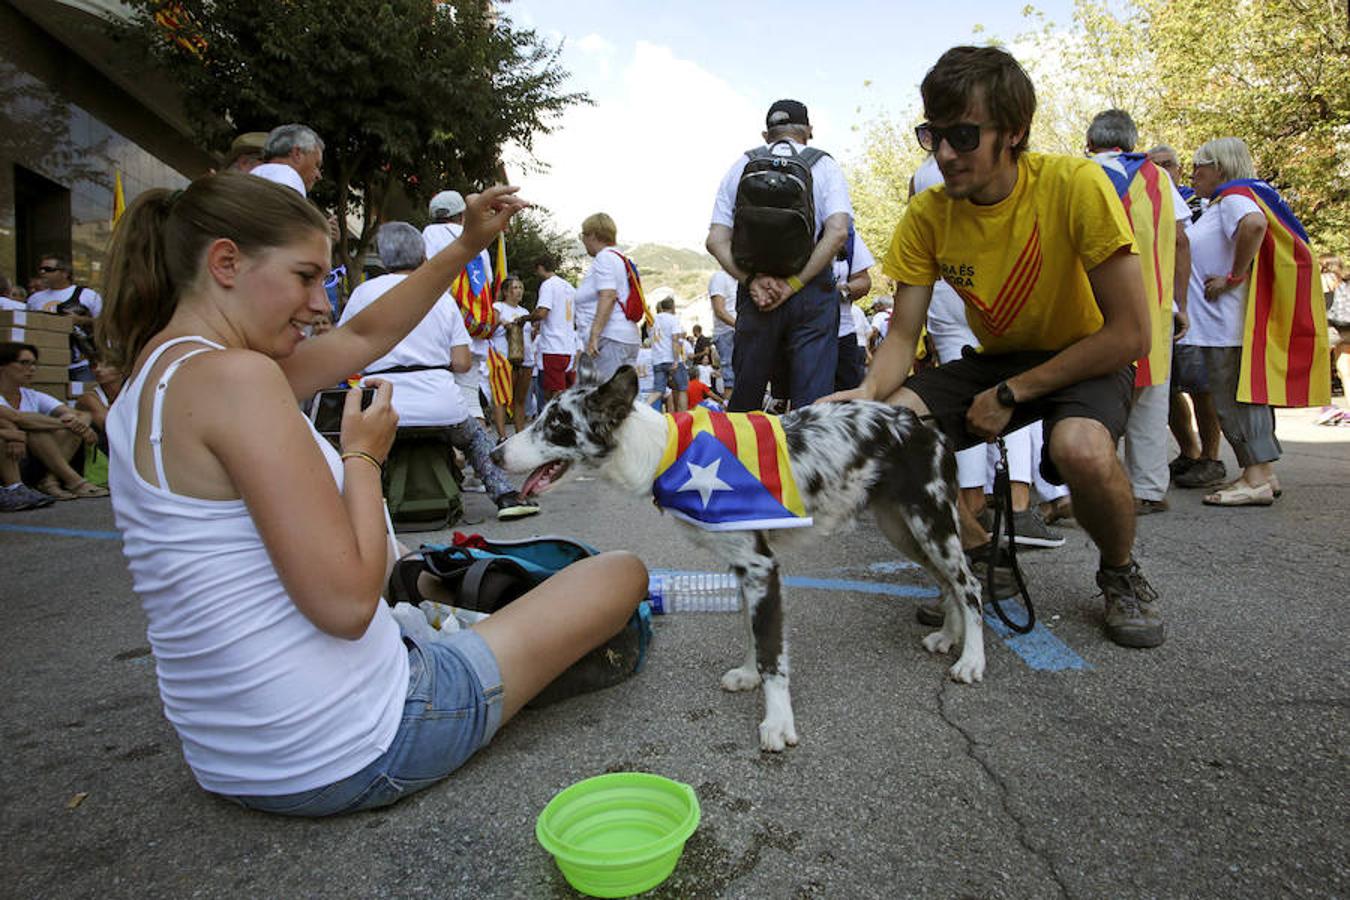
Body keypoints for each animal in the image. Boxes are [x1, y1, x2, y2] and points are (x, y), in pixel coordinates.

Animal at [491, 367, 988, 755]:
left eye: (556, 423)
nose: (494, 454)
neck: (667, 450)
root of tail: (920, 423)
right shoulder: (742, 569)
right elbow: (750, 633)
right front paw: (749, 675)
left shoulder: (762, 569)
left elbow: (772, 654)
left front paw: (778, 721)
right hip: (904, 530)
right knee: (948, 584)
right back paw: (950, 636)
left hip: (931, 525)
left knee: (970, 586)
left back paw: (972, 659)